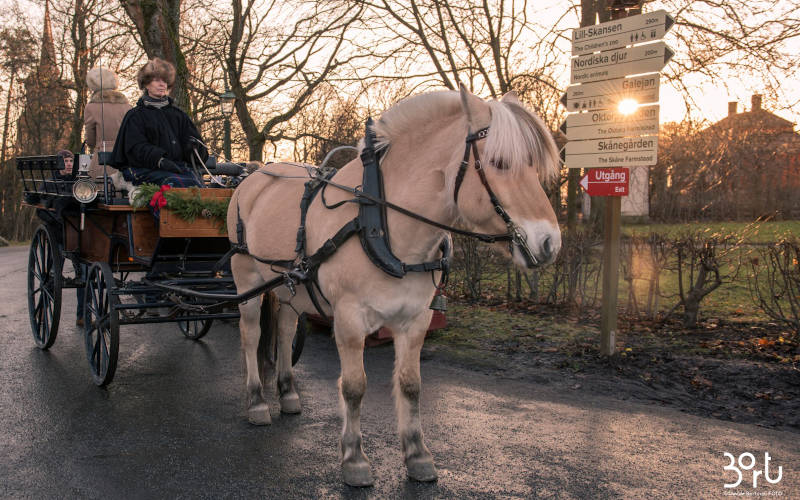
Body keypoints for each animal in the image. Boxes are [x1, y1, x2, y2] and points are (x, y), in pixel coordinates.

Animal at [228, 84, 560, 486]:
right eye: (498, 162)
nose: (550, 243)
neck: (381, 224)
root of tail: (254, 174)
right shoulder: (349, 319)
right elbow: (354, 387)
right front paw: (354, 459)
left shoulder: (415, 319)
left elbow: (411, 385)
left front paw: (417, 455)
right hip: (246, 278)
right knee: (250, 335)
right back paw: (257, 401)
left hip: (292, 288)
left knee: (285, 328)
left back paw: (289, 394)